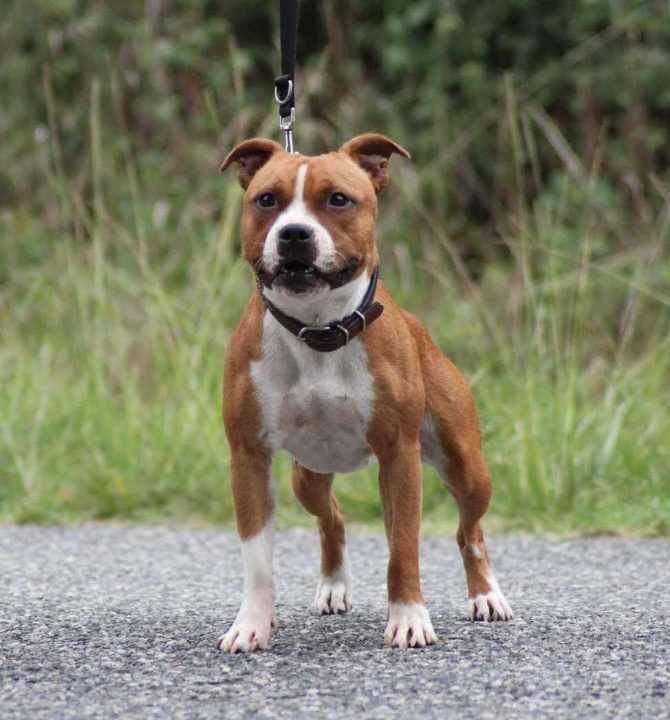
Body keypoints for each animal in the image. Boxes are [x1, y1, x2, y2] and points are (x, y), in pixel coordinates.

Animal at [218, 134, 512, 652]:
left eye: (338, 199)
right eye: (266, 200)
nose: (294, 233)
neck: (317, 328)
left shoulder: (400, 455)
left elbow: (405, 547)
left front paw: (409, 618)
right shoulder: (248, 457)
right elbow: (257, 561)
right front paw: (251, 624)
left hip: (467, 467)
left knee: (469, 531)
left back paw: (486, 596)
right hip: (308, 476)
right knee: (332, 518)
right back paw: (333, 586)